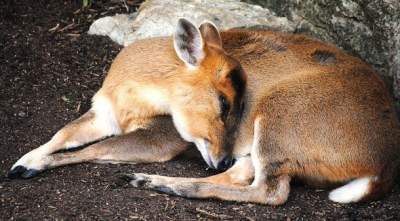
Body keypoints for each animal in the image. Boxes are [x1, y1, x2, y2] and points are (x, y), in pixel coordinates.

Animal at [7, 18, 398, 205]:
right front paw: (22, 161)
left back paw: (149, 180)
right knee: (242, 176)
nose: (222, 156)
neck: (130, 94)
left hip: (281, 116)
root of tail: (383, 165)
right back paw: (155, 181)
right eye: (224, 102)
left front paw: (33, 167)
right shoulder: (103, 111)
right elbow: (64, 132)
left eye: (241, 103)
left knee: (270, 191)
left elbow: (96, 149)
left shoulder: (165, 136)